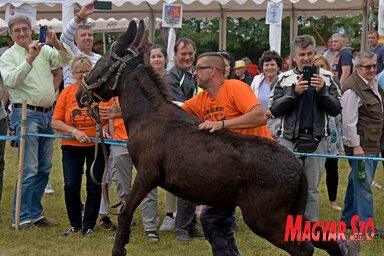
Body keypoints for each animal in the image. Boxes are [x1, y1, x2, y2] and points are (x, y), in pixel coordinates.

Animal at [77, 21, 344, 256]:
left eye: (102, 61)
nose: (81, 93)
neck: (148, 115)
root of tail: (297, 167)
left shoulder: (147, 174)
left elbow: (125, 211)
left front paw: (118, 248)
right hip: (289, 213)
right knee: (324, 238)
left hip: (264, 218)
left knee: (304, 248)